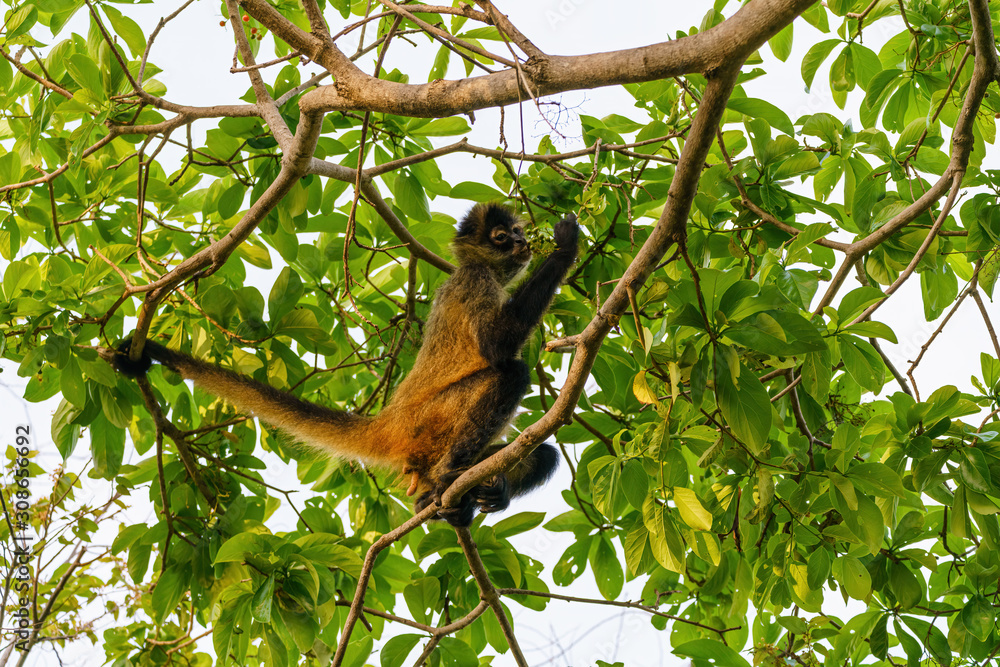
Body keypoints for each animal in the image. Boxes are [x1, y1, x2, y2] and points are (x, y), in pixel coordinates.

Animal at [113, 203, 580, 527]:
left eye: (517, 232)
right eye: (502, 237)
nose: (520, 243)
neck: (478, 268)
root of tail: (388, 421)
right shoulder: (474, 281)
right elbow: (498, 348)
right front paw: (565, 246)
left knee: (544, 453)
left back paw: (465, 497)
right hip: (430, 422)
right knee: (512, 373)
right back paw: (447, 478)